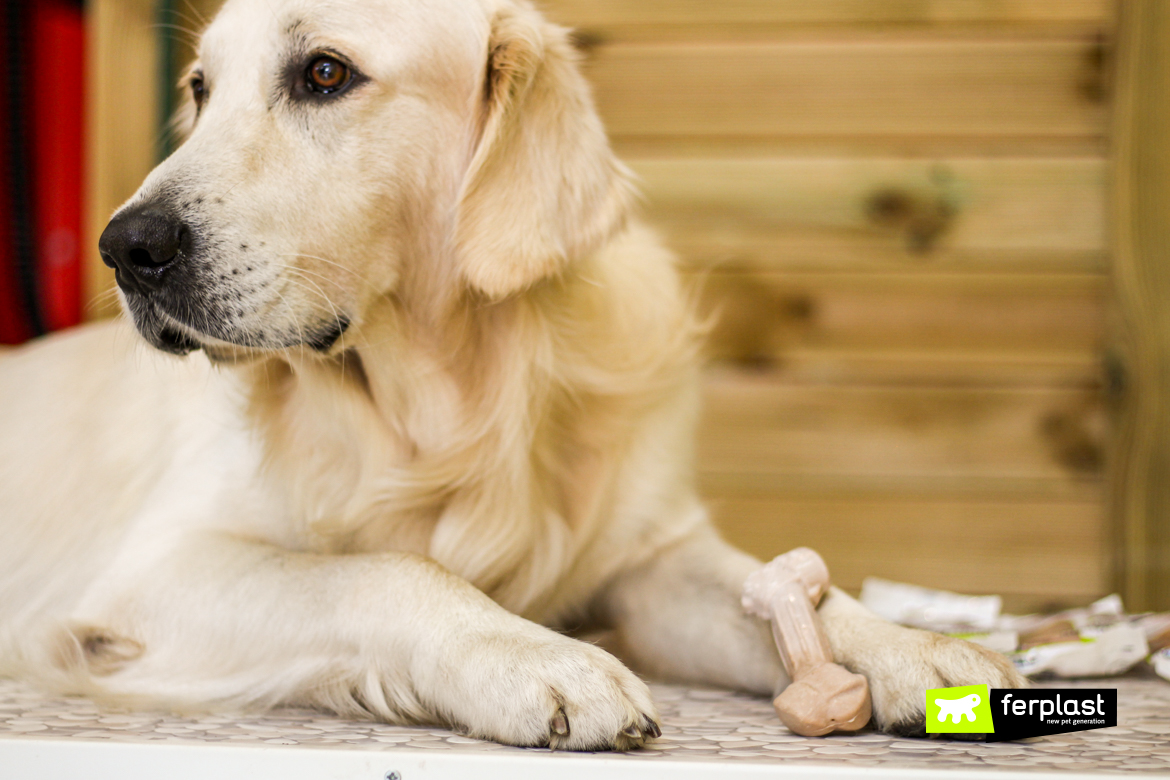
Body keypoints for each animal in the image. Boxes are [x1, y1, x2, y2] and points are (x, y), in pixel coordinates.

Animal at [0, 0, 1024, 748]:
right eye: (201, 90)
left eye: (324, 73)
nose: (126, 249)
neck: (452, 400)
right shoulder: (149, 573)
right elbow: (387, 570)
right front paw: (534, 658)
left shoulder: (649, 560)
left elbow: (791, 589)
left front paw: (917, 649)